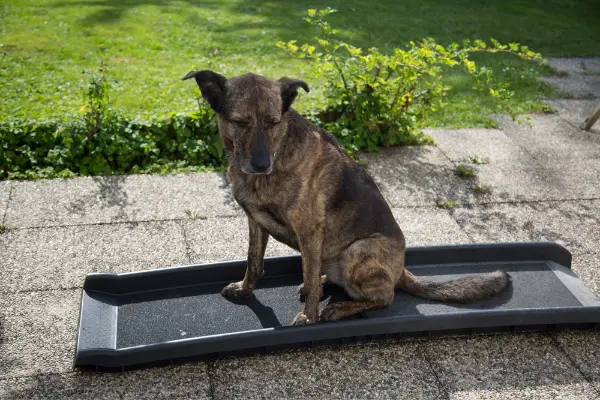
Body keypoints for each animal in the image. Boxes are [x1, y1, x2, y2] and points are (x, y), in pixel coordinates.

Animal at [183, 69, 510, 324]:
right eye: (239, 122)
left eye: (273, 122)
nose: (262, 164)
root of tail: (401, 271)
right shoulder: (256, 222)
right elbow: (254, 263)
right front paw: (245, 290)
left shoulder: (309, 231)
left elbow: (308, 280)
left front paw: (309, 317)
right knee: (323, 274)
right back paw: (322, 282)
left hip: (359, 250)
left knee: (384, 297)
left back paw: (339, 308)